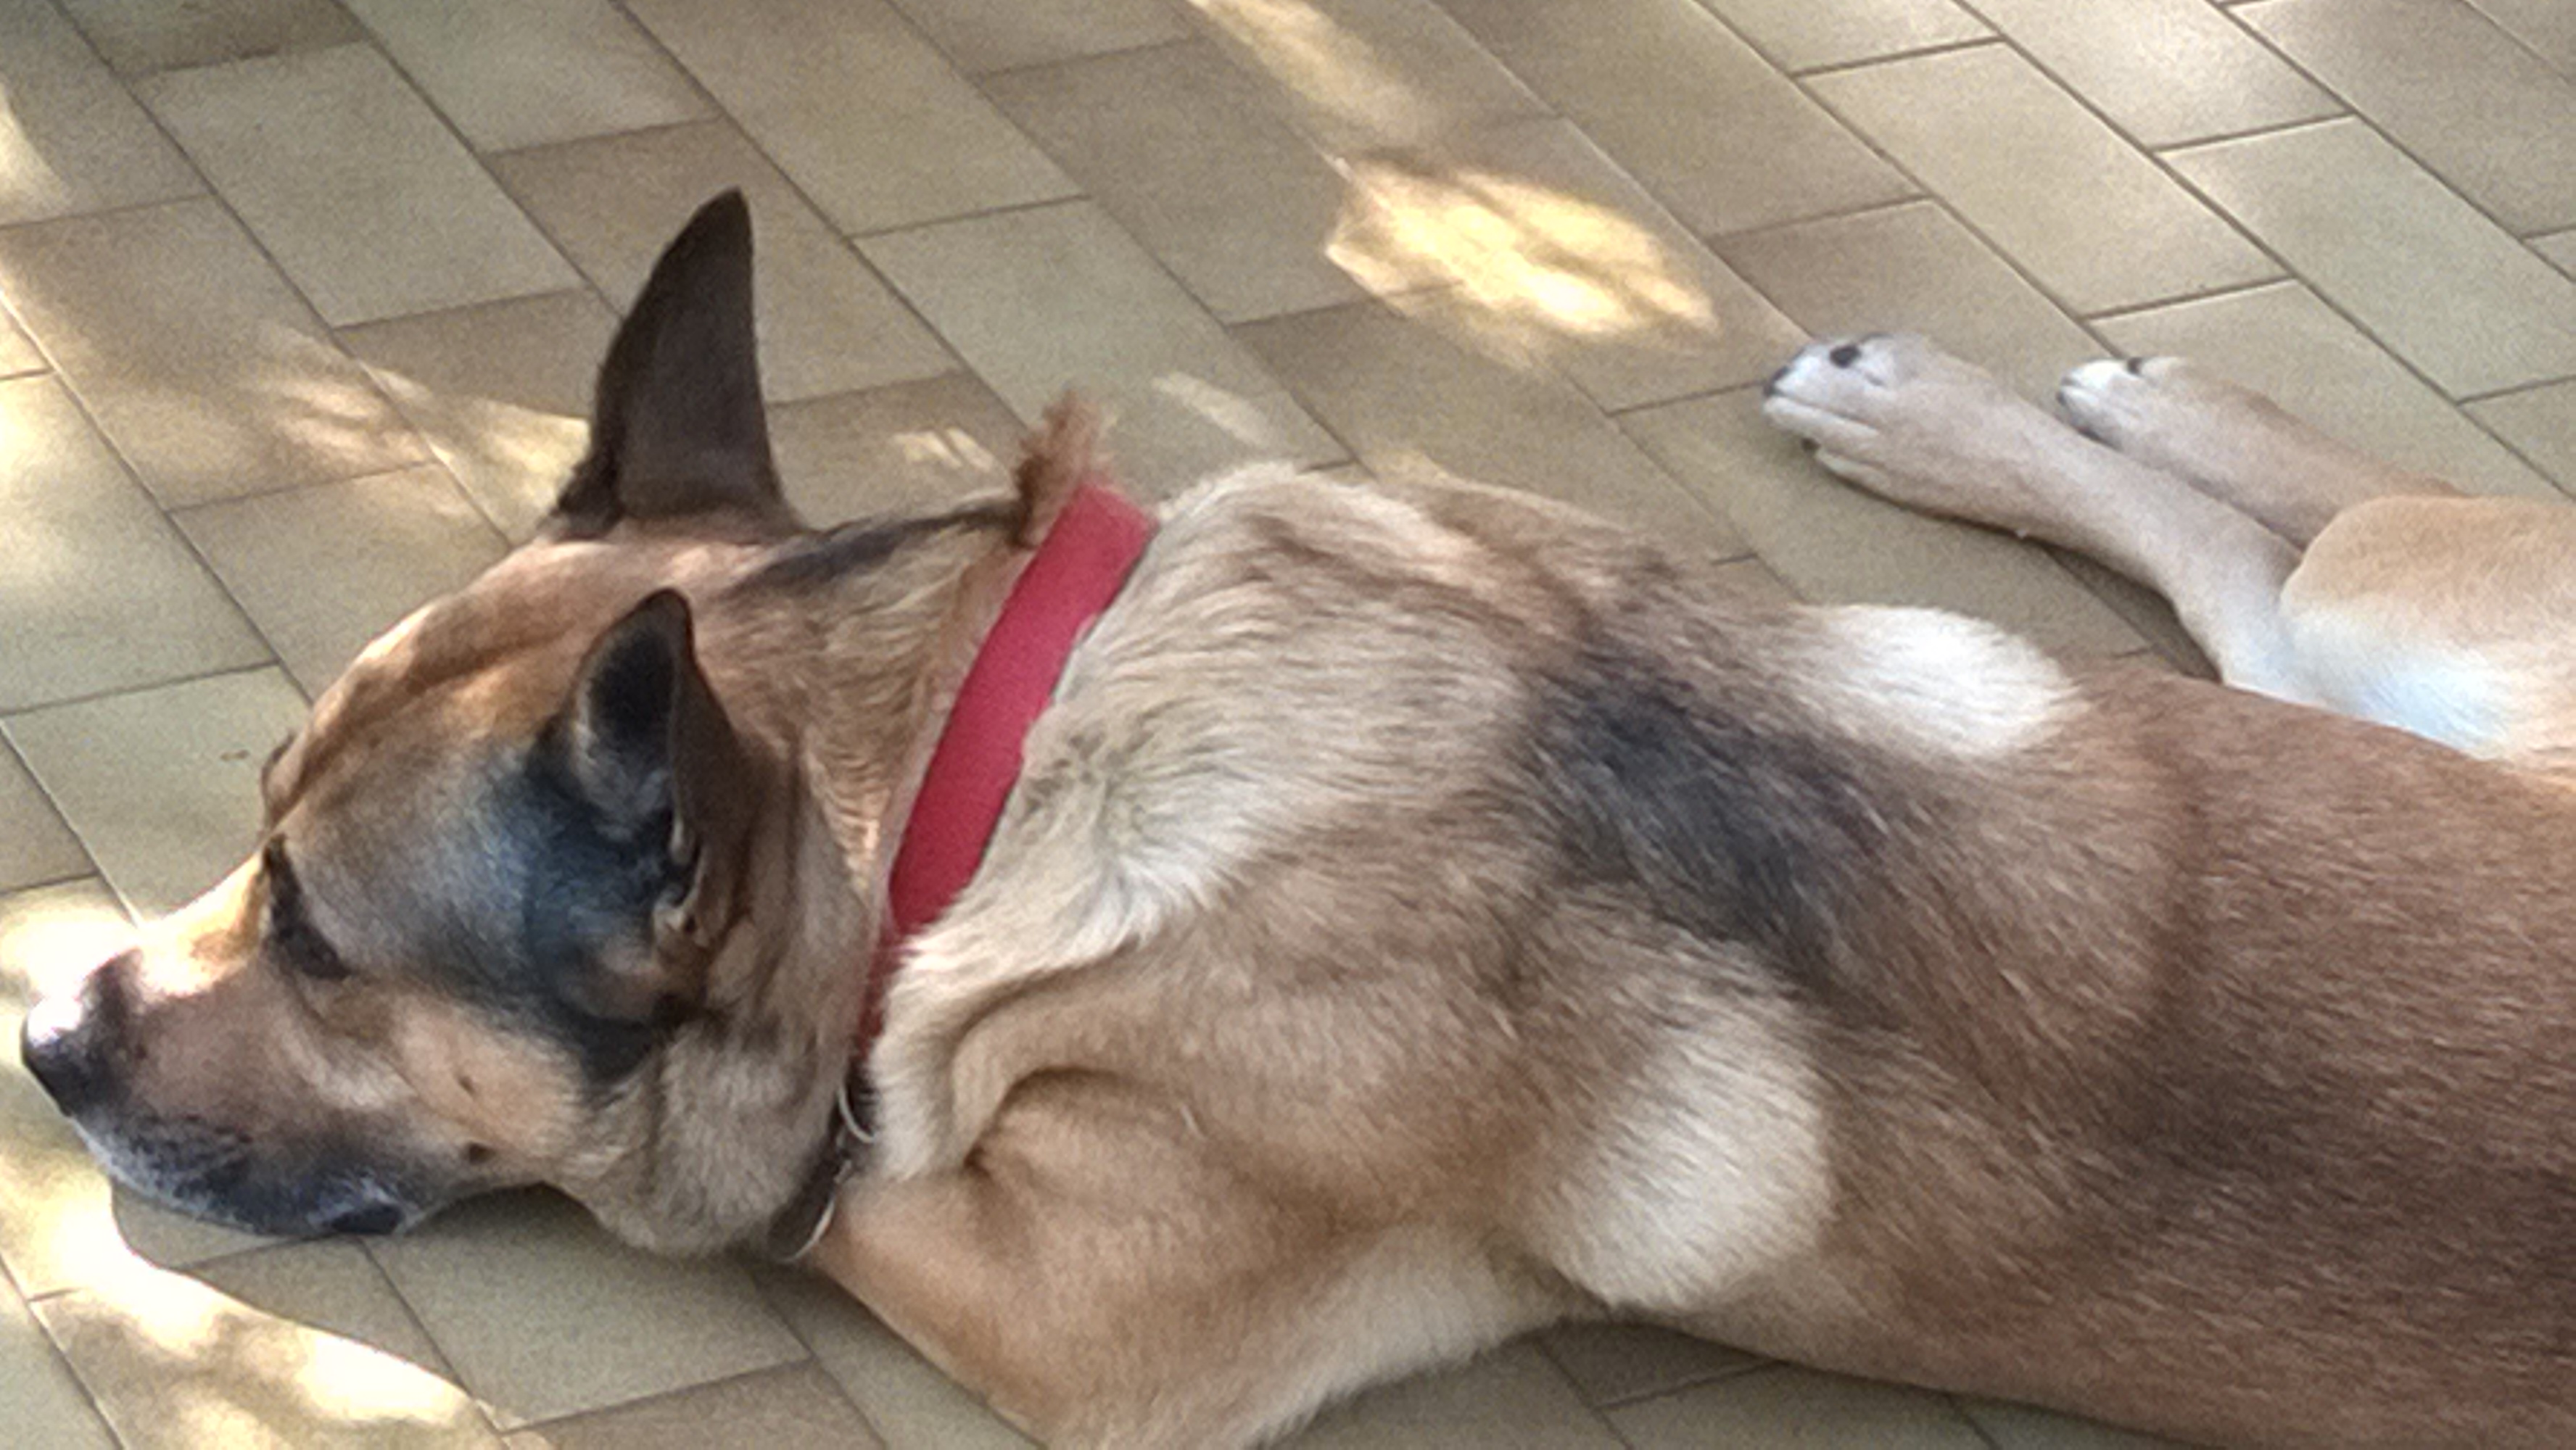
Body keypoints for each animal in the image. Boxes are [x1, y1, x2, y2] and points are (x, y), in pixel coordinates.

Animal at [20, 194, 2576, 1448]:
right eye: (254, 837)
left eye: (322, 941)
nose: (44, 1043)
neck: (1010, 758)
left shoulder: (1075, 1315)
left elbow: (766, 1170)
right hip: (2352, 673)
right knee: (2257, 560)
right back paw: (2001, 401)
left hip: (2398, 645)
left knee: (2313, 553)